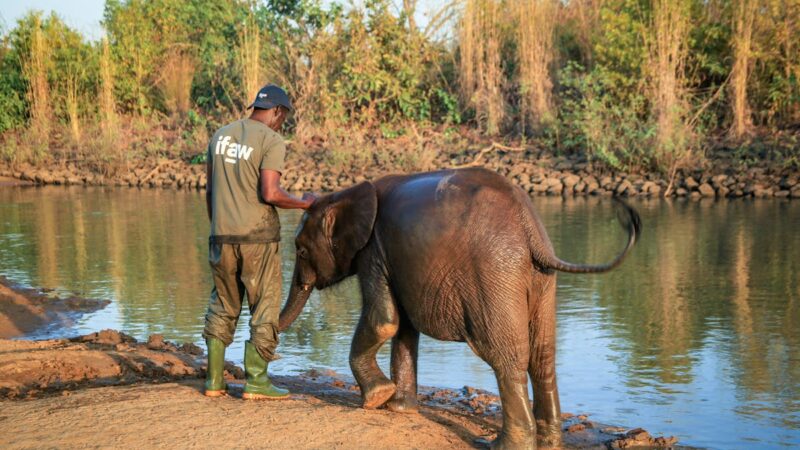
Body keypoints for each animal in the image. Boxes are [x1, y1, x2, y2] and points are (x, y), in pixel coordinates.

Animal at [278, 167, 640, 449]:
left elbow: (384, 321)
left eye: (300, 250)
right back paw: (549, 442)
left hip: (494, 272)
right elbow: (404, 330)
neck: (345, 193)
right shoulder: (393, 259)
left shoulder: (373, 252)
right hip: (541, 280)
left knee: (505, 357)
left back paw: (499, 444)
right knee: (542, 356)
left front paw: (377, 399)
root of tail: (530, 229)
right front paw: (397, 408)